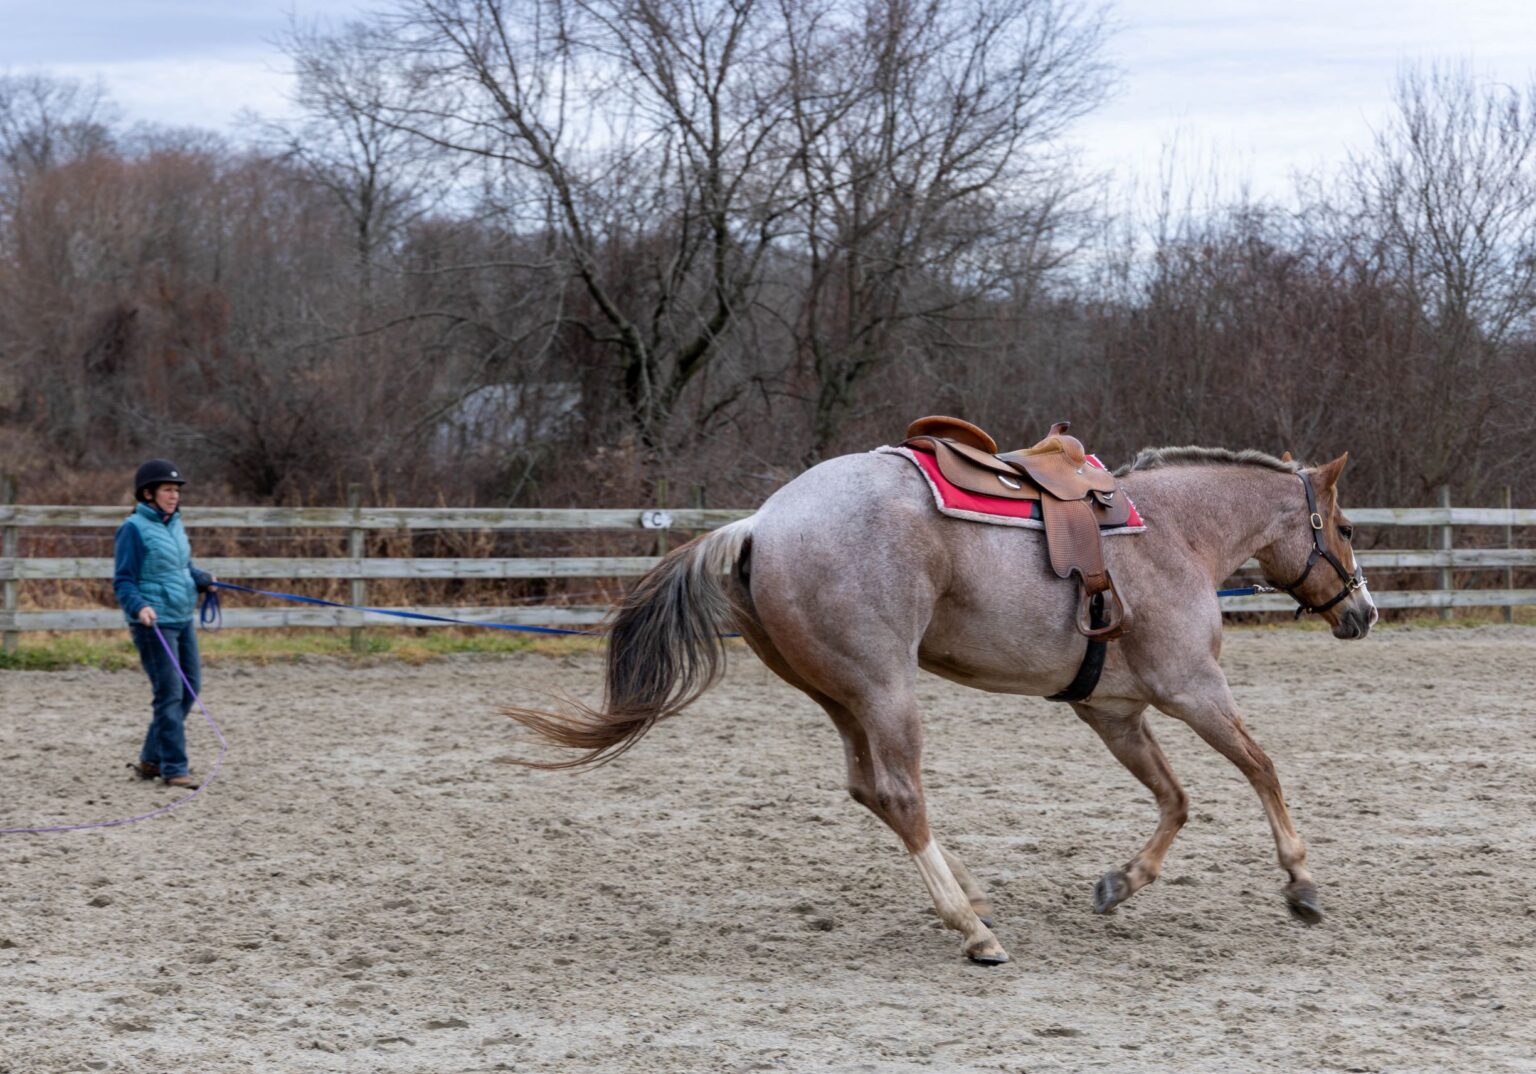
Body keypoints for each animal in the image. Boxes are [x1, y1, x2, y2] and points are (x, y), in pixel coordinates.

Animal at [507, 441, 1377, 964]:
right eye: (1342, 525)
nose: (1362, 613)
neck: (1174, 534)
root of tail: (760, 523)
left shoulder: (1115, 713)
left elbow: (1176, 799)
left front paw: (1122, 882)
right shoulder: (1194, 691)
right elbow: (1261, 769)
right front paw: (1300, 883)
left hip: (840, 696)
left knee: (870, 789)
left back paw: (971, 898)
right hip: (887, 689)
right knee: (900, 793)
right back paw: (971, 928)